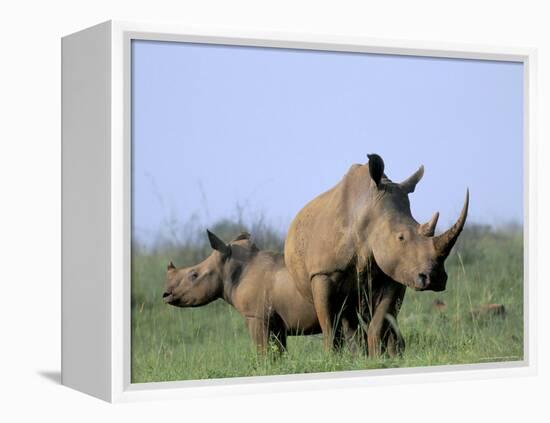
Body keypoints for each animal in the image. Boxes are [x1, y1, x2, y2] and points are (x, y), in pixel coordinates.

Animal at [162, 232, 322, 354]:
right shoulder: (275, 322)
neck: (230, 269)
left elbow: (264, 353)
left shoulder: (257, 316)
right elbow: (278, 352)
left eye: (194, 275)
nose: (165, 295)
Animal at [284, 154, 470, 356]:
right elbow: (329, 324)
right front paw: (332, 358)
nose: (435, 278)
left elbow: (380, 319)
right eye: (401, 237)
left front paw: (377, 357)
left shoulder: (394, 272)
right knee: (344, 315)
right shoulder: (323, 272)